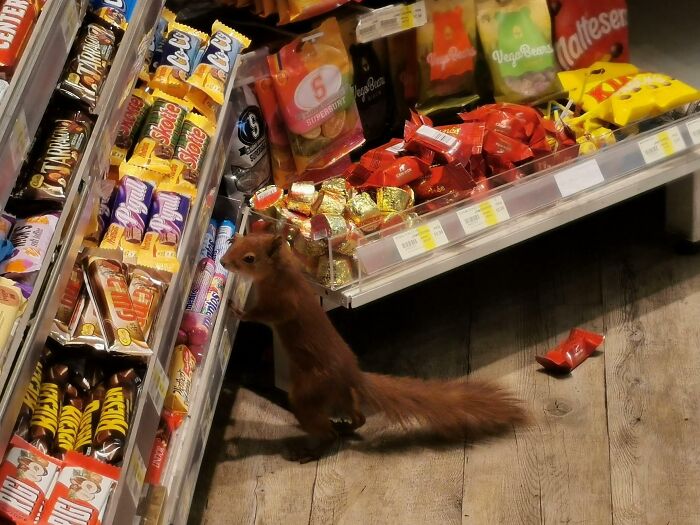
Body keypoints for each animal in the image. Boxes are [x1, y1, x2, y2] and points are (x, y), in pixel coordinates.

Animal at [221, 233, 528, 458]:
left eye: (249, 258)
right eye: (237, 242)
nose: (223, 262)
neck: (284, 274)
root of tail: (352, 375)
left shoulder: (283, 304)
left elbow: (265, 316)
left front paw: (237, 310)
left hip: (307, 393)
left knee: (329, 430)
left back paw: (312, 450)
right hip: (339, 396)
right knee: (358, 418)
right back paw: (345, 426)